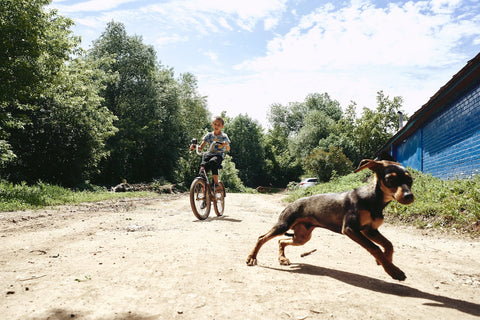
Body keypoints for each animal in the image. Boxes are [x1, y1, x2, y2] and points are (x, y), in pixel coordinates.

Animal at [246, 155, 414, 280]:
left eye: (410, 180)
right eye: (390, 179)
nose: (410, 196)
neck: (373, 199)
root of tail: (291, 203)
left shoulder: (369, 230)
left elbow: (388, 245)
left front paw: (387, 262)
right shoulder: (351, 229)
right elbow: (375, 248)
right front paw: (394, 270)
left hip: (302, 237)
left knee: (281, 241)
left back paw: (282, 259)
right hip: (284, 225)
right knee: (262, 237)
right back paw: (251, 257)